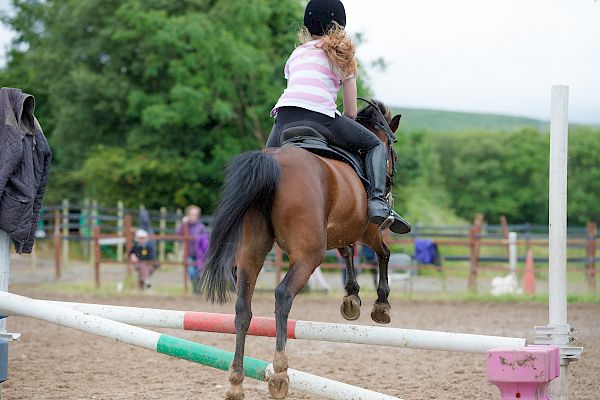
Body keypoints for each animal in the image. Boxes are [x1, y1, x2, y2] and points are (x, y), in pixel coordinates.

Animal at [202, 100, 404, 400]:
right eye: (393, 151)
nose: (390, 188)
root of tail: (272, 164)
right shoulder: (366, 229)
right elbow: (383, 253)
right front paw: (380, 304)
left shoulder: (340, 230)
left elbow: (347, 254)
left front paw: (352, 297)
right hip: (308, 255)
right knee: (283, 295)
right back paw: (280, 373)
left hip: (251, 252)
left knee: (243, 309)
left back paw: (236, 382)